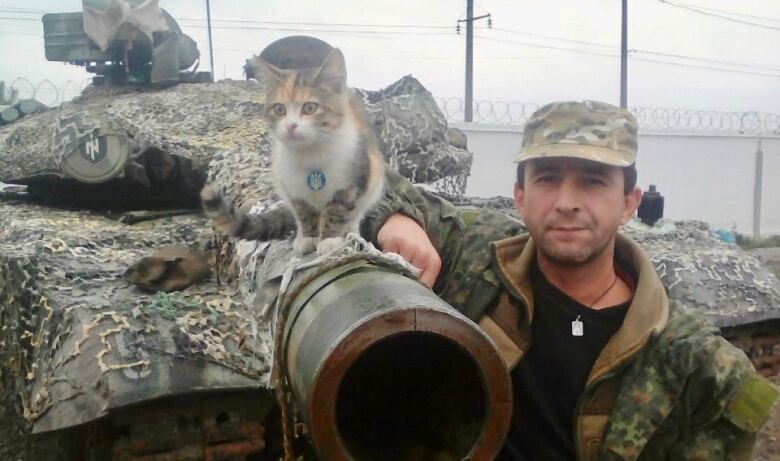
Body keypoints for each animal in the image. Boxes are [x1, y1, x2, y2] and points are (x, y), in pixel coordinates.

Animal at [201, 48, 384, 253]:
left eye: (310, 107)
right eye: (279, 109)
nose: (290, 126)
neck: (311, 152)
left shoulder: (352, 180)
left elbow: (338, 211)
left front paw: (330, 239)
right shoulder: (293, 187)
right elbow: (304, 213)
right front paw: (309, 237)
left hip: (373, 180)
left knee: (356, 214)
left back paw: (351, 232)